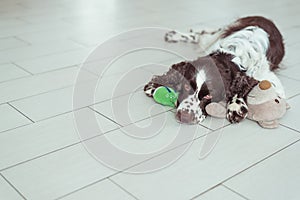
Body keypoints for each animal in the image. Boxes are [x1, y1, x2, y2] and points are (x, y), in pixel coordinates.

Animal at [144, 16, 284, 124]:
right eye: (187, 86)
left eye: (208, 95)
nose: (184, 117)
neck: (230, 55)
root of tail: (264, 18)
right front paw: (155, 84)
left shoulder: (271, 83)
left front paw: (236, 106)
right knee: (200, 35)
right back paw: (174, 35)